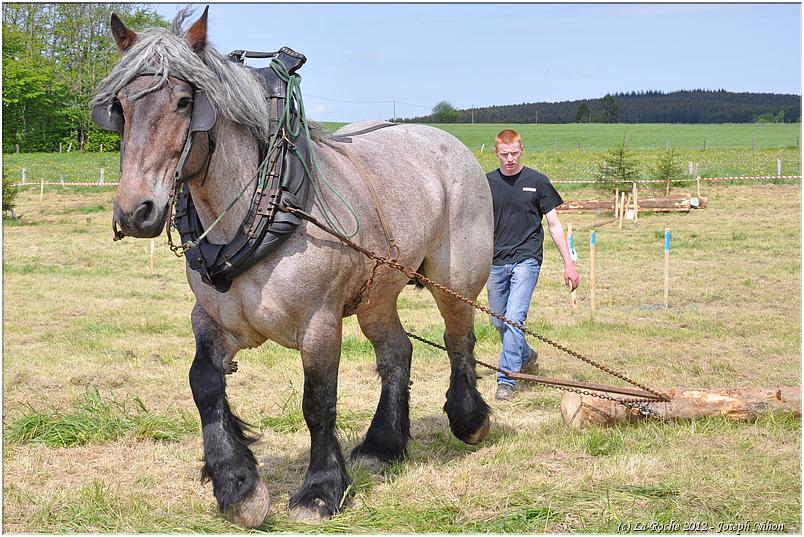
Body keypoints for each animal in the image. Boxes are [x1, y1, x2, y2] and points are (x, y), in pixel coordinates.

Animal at [92, 9, 494, 528]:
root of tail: (447, 141)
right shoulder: (215, 320)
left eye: (184, 102)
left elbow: (318, 402)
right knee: (397, 352)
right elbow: (203, 382)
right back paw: (382, 446)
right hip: (376, 292)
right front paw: (237, 485)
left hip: (454, 278)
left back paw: (469, 420)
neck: (263, 209)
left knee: (459, 338)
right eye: (119, 107)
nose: (134, 211)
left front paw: (320, 490)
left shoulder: (320, 323)